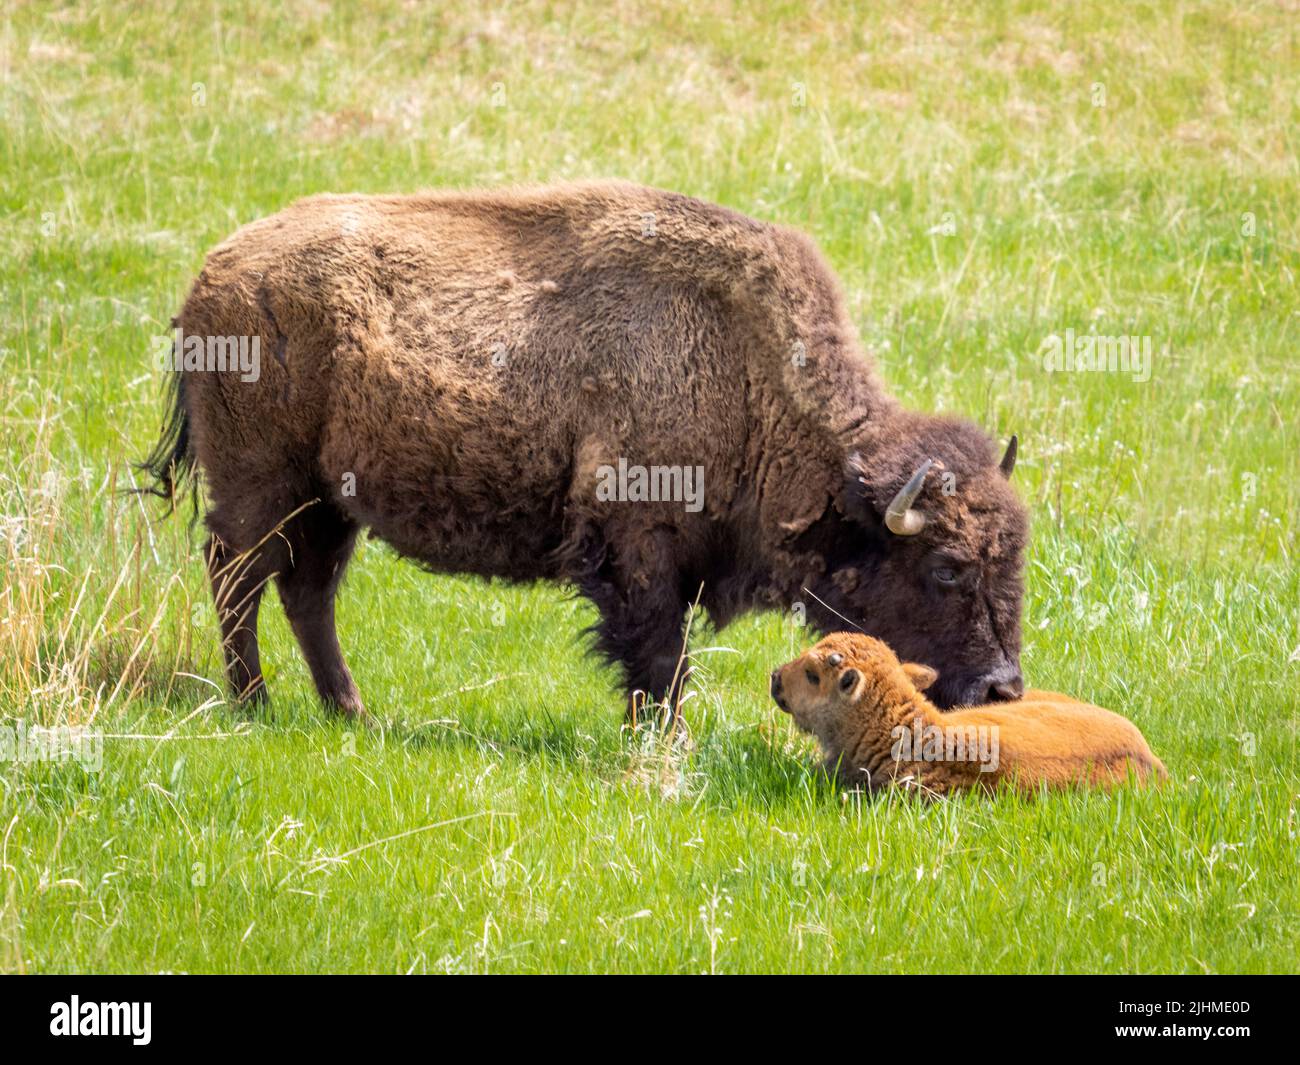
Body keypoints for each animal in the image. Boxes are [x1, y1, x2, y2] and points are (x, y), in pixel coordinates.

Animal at [139, 181, 1027, 721]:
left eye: (1013, 560)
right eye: (947, 568)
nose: (1003, 687)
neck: (752, 374)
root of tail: (215, 272)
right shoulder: (637, 546)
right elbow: (660, 656)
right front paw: (663, 741)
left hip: (331, 501)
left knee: (306, 590)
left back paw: (348, 711)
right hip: (263, 483)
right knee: (239, 574)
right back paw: (254, 703)